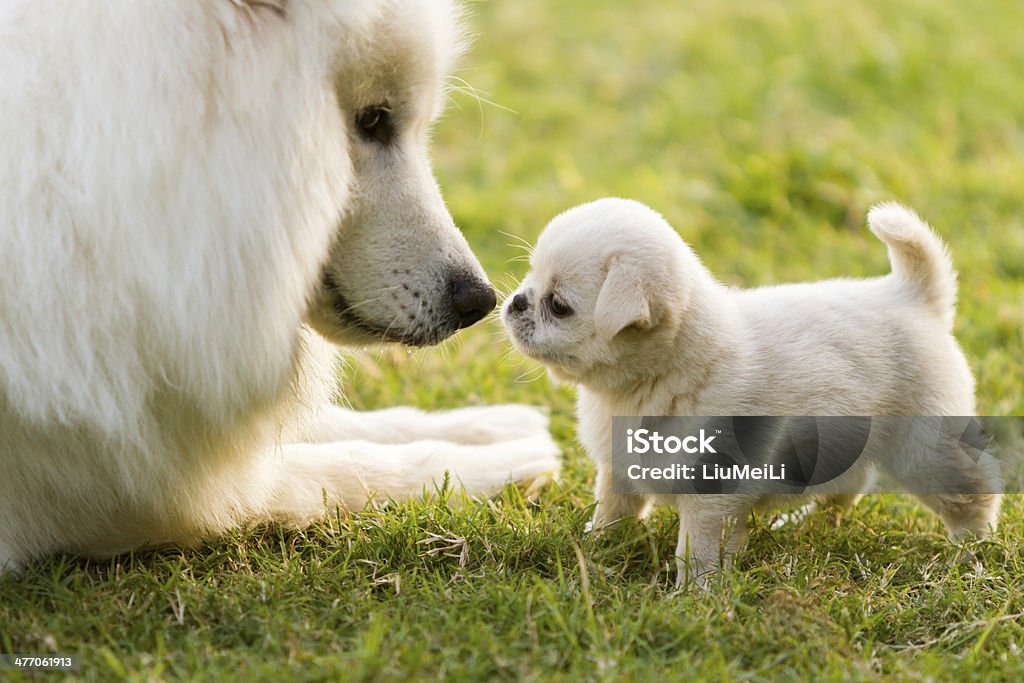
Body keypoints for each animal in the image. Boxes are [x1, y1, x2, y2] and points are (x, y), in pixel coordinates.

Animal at [0, 0, 561, 573]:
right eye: (373, 120)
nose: (480, 301)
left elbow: (337, 425)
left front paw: (487, 425)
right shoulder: (113, 488)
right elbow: (339, 469)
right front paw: (497, 463)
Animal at [501, 197, 999, 589]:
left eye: (558, 306)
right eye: (530, 278)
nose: (516, 302)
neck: (651, 380)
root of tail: (913, 297)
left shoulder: (711, 496)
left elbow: (696, 550)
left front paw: (695, 597)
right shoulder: (618, 470)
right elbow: (613, 510)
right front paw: (596, 545)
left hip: (926, 451)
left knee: (973, 489)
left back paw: (971, 552)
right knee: (851, 484)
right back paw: (812, 519)